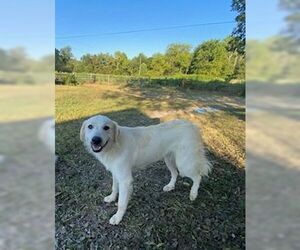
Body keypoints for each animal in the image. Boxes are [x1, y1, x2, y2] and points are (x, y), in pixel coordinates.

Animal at [79, 115, 211, 225]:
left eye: (106, 127)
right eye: (90, 126)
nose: (96, 140)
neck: (114, 145)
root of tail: (192, 125)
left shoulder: (125, 180)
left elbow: (121, 203)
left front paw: (117, 217)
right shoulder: (116, 173)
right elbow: (114, 188)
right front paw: (111, 198)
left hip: (184, 163)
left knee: (197, 176)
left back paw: (193, 193)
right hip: (169, 159)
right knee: (175, 173)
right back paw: (170, 186)